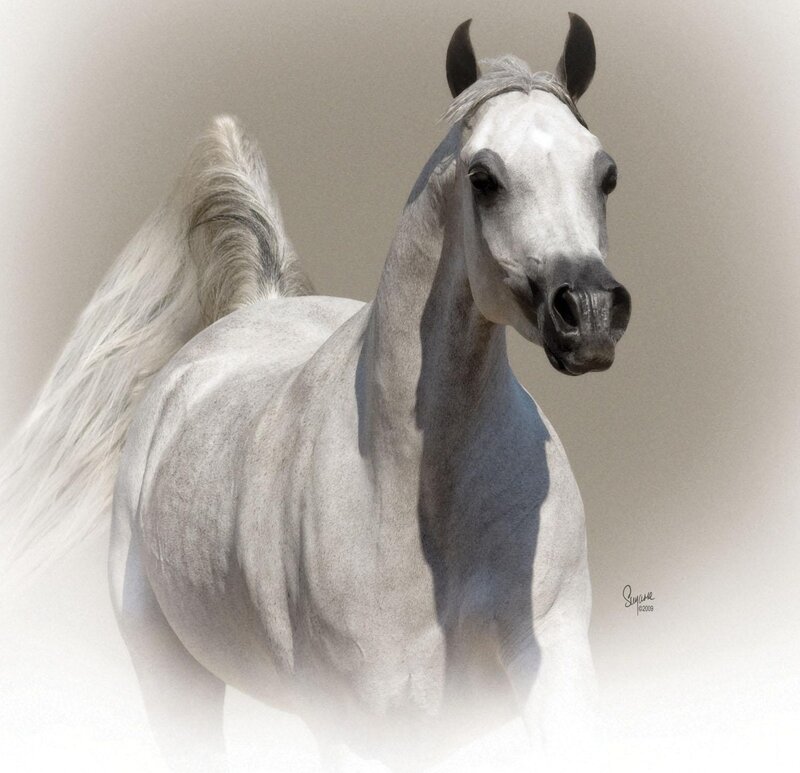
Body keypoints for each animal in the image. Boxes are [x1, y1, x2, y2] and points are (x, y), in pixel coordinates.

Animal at [0, 14, 630, 772]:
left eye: (605, 173)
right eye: (485, 177)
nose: (589, 312)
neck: (417, 507)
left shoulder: (547, 678)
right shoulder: (359, 727)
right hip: (172, 679)